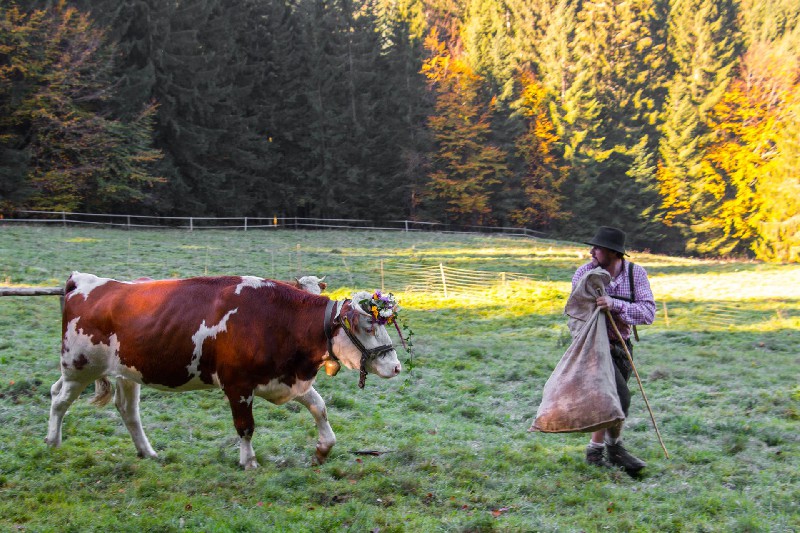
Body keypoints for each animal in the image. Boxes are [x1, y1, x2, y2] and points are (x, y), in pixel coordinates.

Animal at [45, 272, 400, 468]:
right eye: (369, 326)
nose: (395, 366)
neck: (278, 320)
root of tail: (83, 281)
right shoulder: (237, 385)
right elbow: (246, 427)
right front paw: (249, 461)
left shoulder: (284, 380)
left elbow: (320, 407)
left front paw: (323, 449)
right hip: (79, 366)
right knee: (59, 400)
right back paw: (52, 442)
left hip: (127, 372)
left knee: (127, 411)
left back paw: (148, 452)